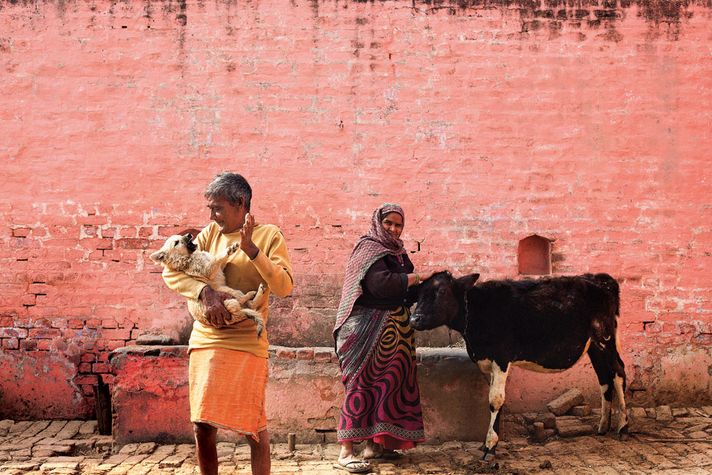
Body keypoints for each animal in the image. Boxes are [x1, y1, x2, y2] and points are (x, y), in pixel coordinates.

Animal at [412, 274, 628, 460]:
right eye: (419, 292)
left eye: (441, 292)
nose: (415, 319)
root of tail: (598, 279)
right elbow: (494, 399)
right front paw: (488, 445)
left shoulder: (501, 358)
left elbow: (495, 400)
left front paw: (490, 447)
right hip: (594, 346)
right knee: (604, 378)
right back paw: (603, 426)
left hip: (605, 339)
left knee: (618, 373)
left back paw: (623, 426)